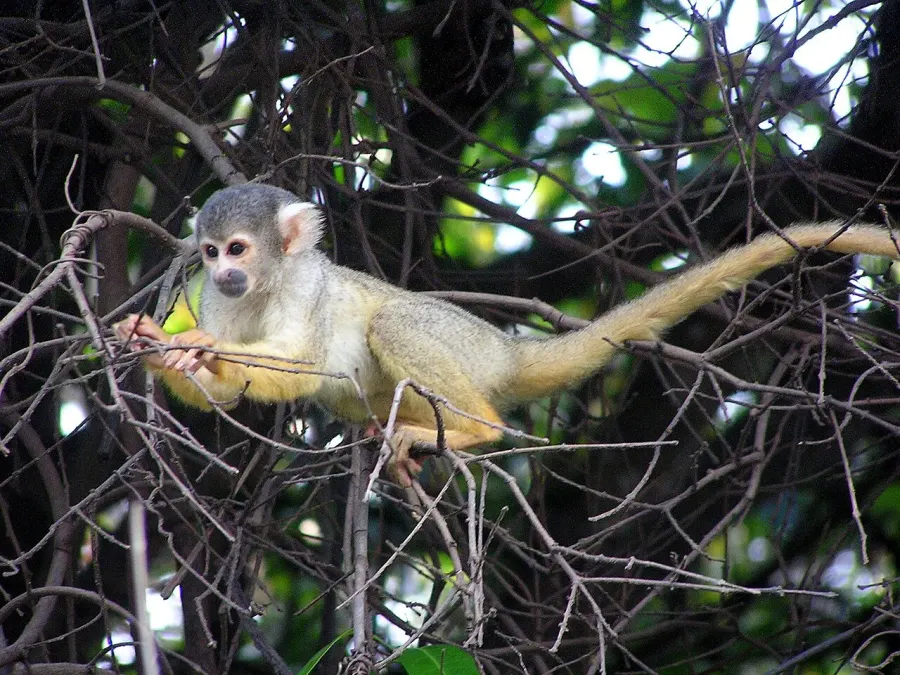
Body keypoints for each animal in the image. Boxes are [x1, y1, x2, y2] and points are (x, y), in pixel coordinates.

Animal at [115, 184, 900, 485]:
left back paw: (473, 430)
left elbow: (309, 363)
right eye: (211, 253)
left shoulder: (308, 287)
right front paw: (163, 349)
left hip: (465, 345)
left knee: (396, 320)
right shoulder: (211, 300)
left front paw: (194, 350)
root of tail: (508, 349)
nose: (224, 274)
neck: (265, 289)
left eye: (239, 250)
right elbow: (228, 396)